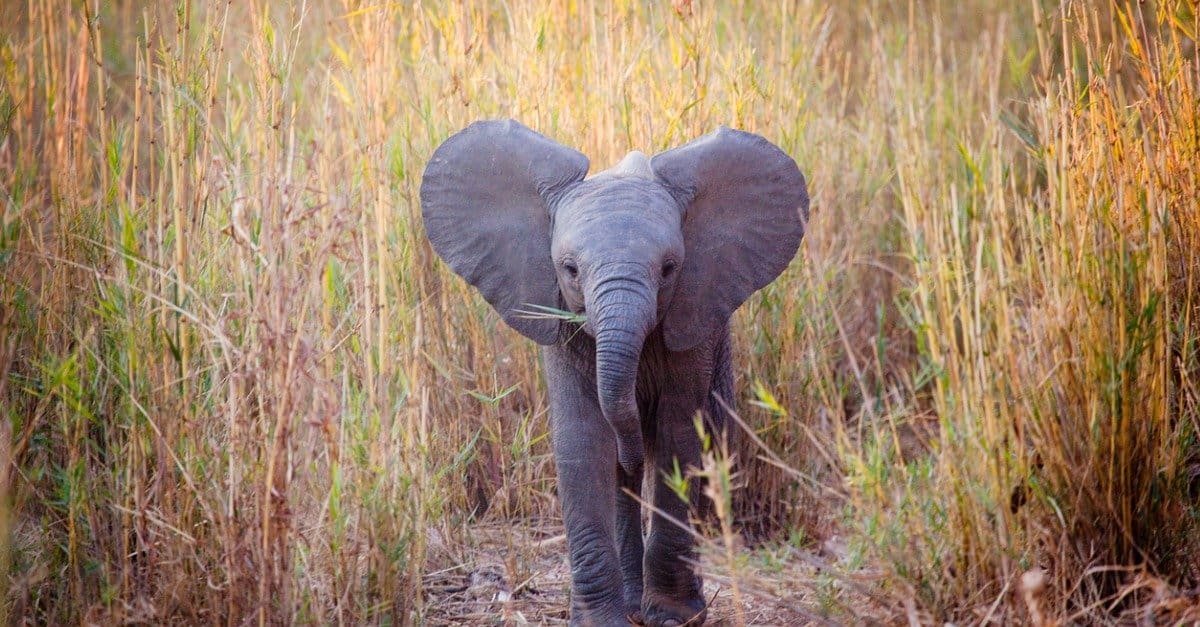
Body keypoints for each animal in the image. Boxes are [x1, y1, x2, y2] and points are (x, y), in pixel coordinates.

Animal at [420, 119, 808, 626]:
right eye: (569, 269)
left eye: (669, 269)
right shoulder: (560, 320)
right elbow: (583, 442)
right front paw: (599, 621)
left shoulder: (695, 319)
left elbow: (679, 436)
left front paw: (672, 618)